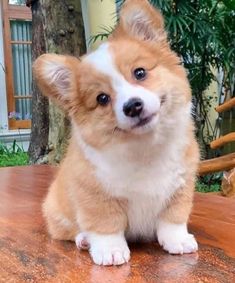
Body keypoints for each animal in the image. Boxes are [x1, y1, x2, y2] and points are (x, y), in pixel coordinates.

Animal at [34, 0, 200, 266]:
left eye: (140, 73)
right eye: (102, 98)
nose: (133, 106)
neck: (144, 147)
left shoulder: (180, 189)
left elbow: (172, 219)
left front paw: (178, 241)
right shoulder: (96, 195)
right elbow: (105, 225)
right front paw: (110, 251)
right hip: (57, 212)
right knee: (71, 231)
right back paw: (84, 240)